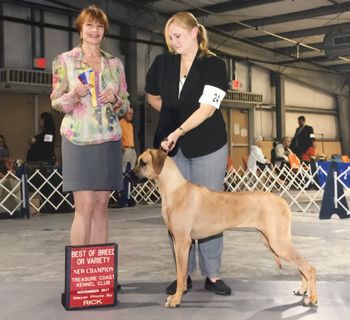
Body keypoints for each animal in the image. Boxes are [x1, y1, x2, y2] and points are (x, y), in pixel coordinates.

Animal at [127, 149, 318, 308]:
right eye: (137, 161)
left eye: (143, 162)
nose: (127, 175)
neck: (174, 189)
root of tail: (282, 201)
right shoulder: (176, 241)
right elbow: (180, 273)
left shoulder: (183, 241)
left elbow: (181, 275)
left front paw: (176, 300)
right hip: (275, 241)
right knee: (301, 266)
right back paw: (302, 290)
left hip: (278, 243)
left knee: (309, 268)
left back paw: (312, 298)